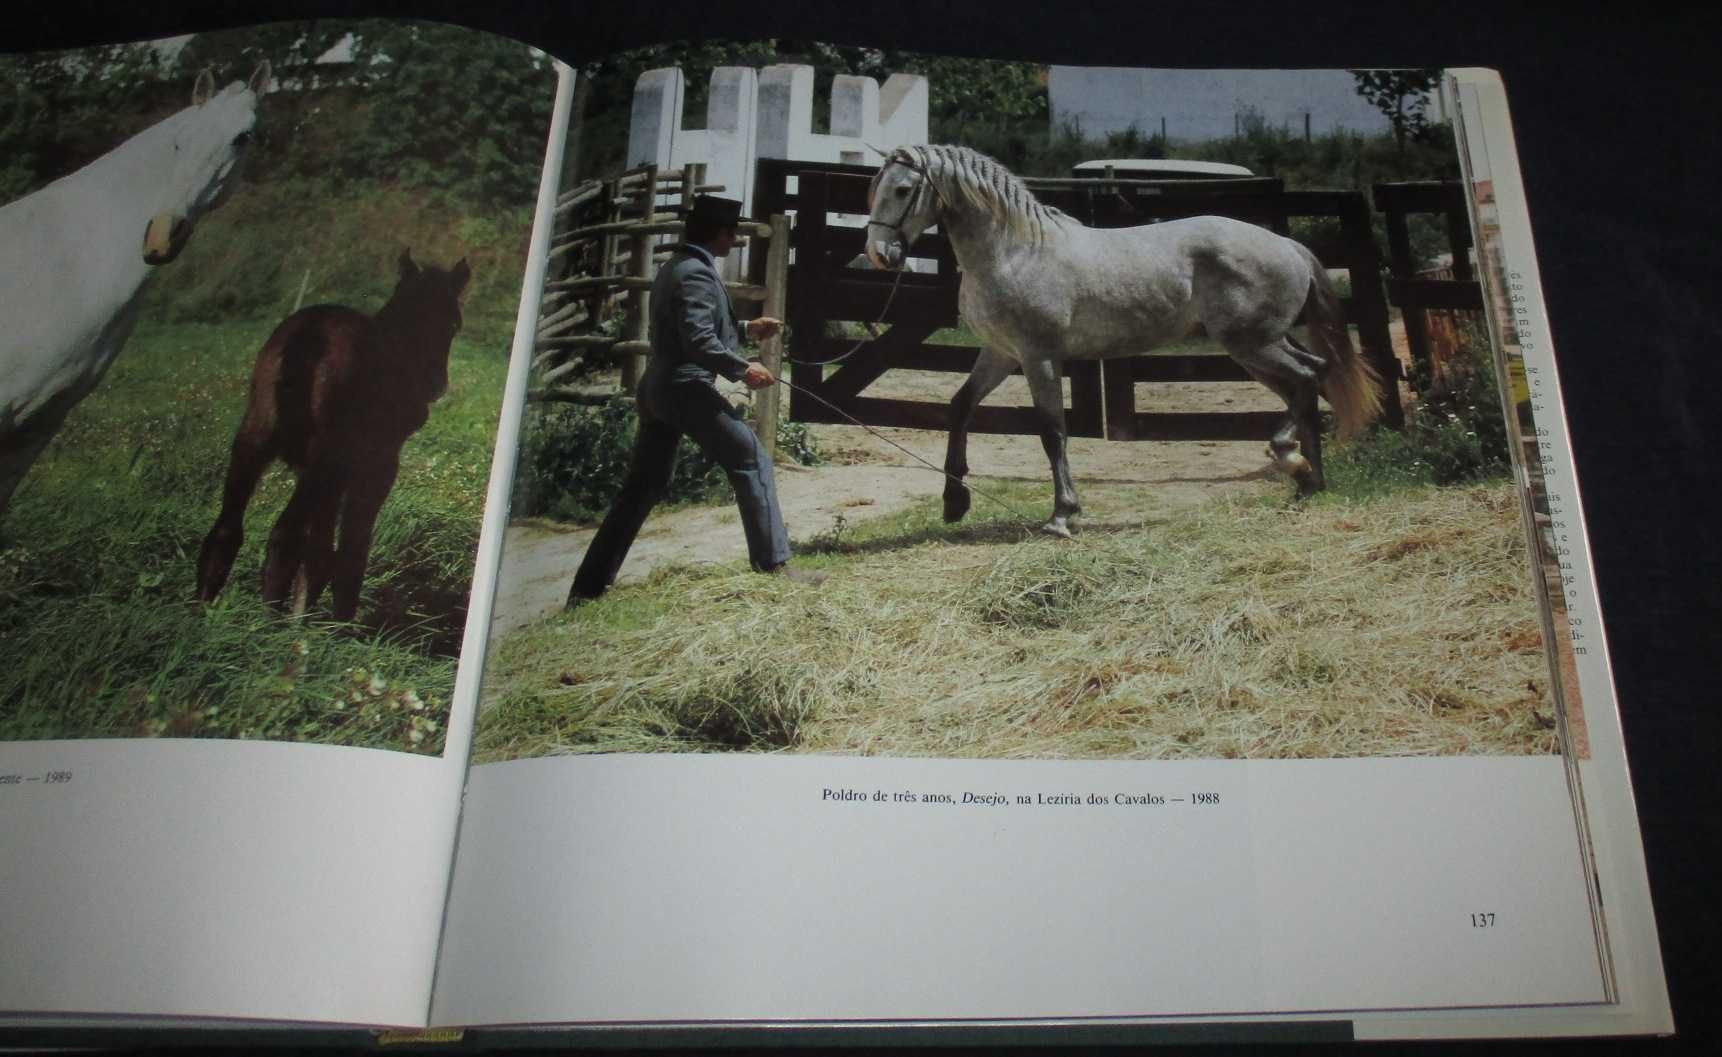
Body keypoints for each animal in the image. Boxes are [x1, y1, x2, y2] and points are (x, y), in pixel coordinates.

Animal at [861, 143, 1384, 533]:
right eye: (874, 189)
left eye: (903, 189)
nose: (880, 254)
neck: (1013, 251)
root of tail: (1288, 245)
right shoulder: (1000, 353)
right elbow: (959, 408)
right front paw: (954, 503)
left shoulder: (1038, 356)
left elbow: (1052, 431)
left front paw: (1062, 515)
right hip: (1255, 348)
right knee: (1307, 380)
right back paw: (1307, 480)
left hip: (1252, 344)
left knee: (1309, 376)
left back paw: (1293, 462)